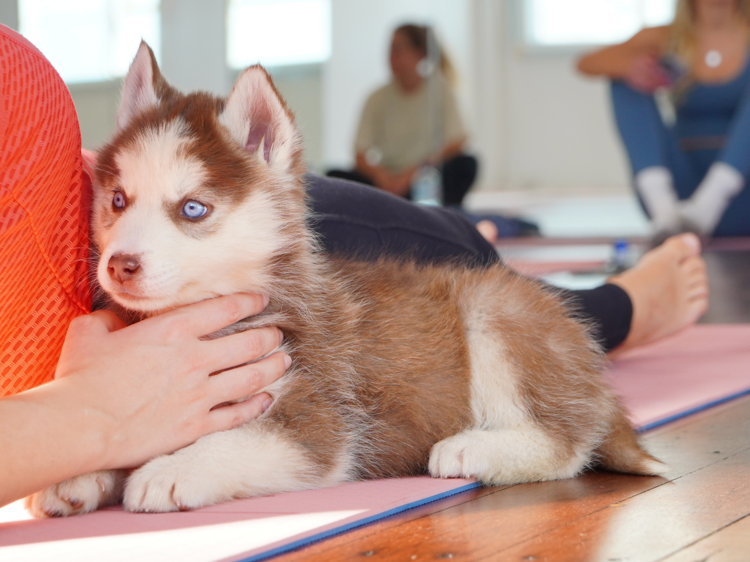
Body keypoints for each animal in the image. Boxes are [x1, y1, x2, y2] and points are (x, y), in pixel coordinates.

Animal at [26, 43, 660, 516]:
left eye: (193, 209)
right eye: (117, 199)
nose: (120, 264)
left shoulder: (322, 422)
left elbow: (240, 439)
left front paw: (173, 469)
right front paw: (78, 474)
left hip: (496, 313)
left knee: (568, 441)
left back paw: (472, 448)